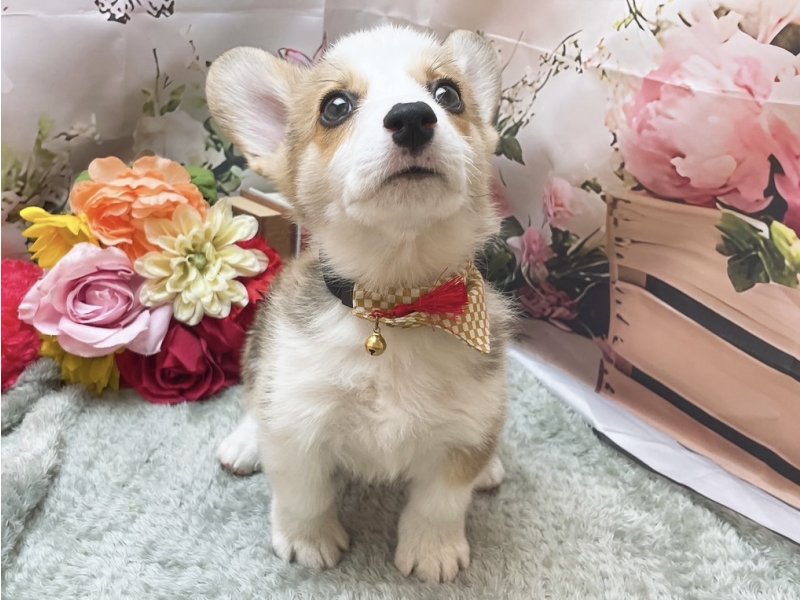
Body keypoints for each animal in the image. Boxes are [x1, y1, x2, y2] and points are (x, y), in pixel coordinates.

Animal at [206, 25, 511, 583]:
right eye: (335, 106)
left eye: (448, 94)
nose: (412, 117)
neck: (395, 306)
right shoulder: (298, 422)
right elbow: (304, 495)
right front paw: (308, 542)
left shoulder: (462, 432)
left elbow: (440, 503)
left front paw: (433, 551)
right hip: (259, 353)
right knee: (254, 400)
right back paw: (244, 444)